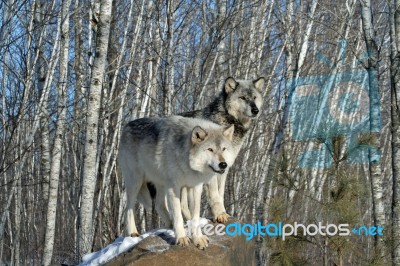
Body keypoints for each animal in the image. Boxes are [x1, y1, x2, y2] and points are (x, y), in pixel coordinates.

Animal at [120, 115, 236, 248]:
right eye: (210, 149)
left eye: (223, 149)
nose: (223, 164)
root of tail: (127, 125)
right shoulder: (174, 188)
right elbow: (178, 215)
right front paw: (181, 238)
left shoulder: (195, 187)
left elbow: (195, 216)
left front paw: (198, 238)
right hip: (135, 182)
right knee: (128, 209)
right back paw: (133, 232)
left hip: (161, 184)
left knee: (159, 205)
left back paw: (170, 225)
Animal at [181, 76, 266, 222]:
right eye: (243, 98)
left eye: (254, 98)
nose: (255, 110)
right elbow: (215, 194)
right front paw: (219, 214)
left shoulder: (224, 165)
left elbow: (220, 193)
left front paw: (224, 213)